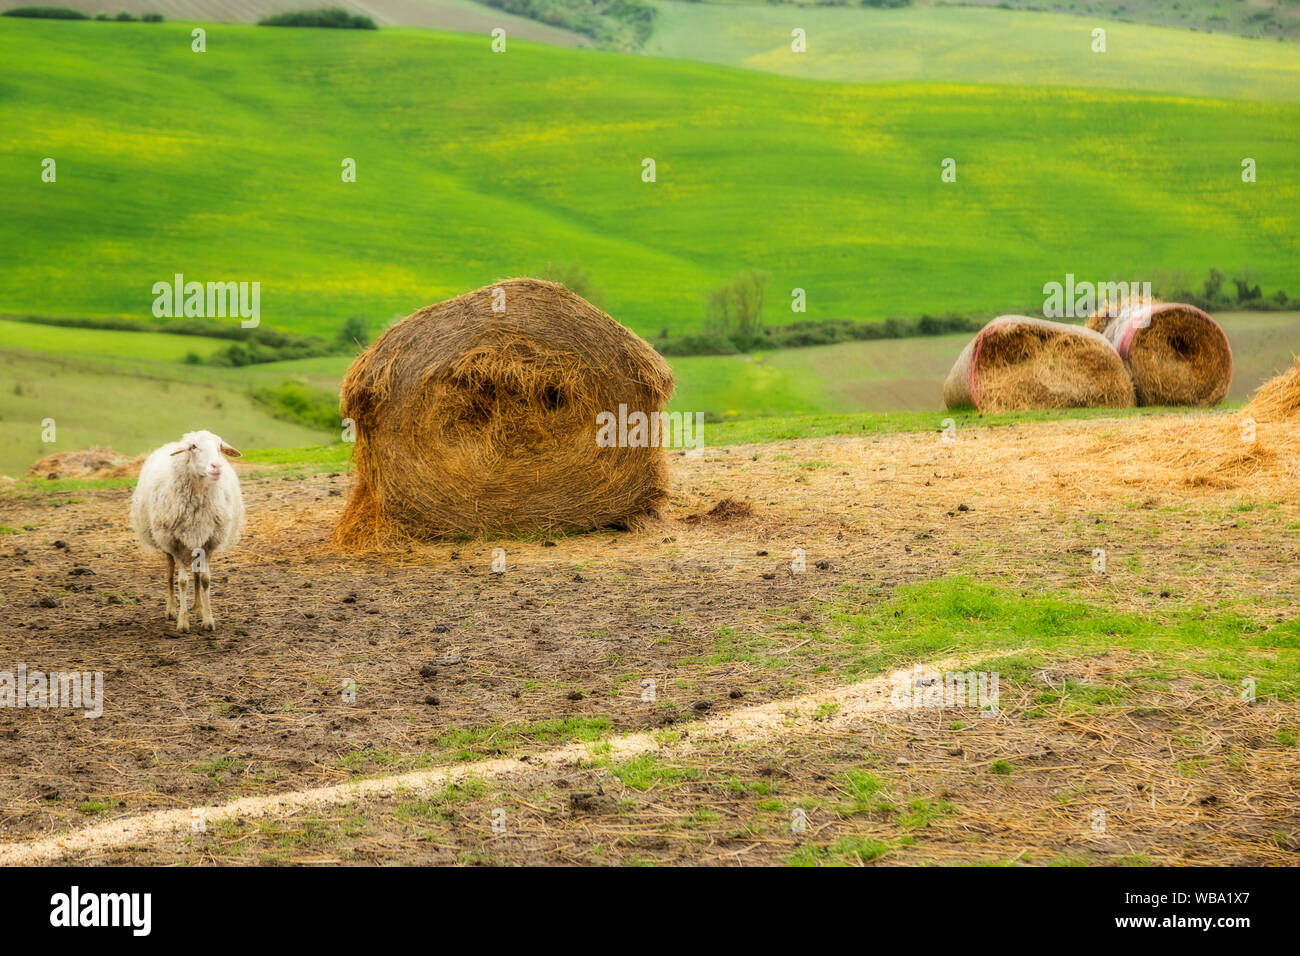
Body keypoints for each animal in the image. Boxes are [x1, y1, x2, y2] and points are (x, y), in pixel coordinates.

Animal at [130, 429, 244, 632]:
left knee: (197, 575)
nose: (217, 466)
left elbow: (205, 579)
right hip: (165, 541)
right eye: (193, 447)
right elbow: (182, 581)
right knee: (170, 572)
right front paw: (182, 622)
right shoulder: (176, 544)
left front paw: (208, 620)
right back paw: (171, 608)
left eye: (219, 447)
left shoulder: (209, 542)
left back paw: (198, 607)